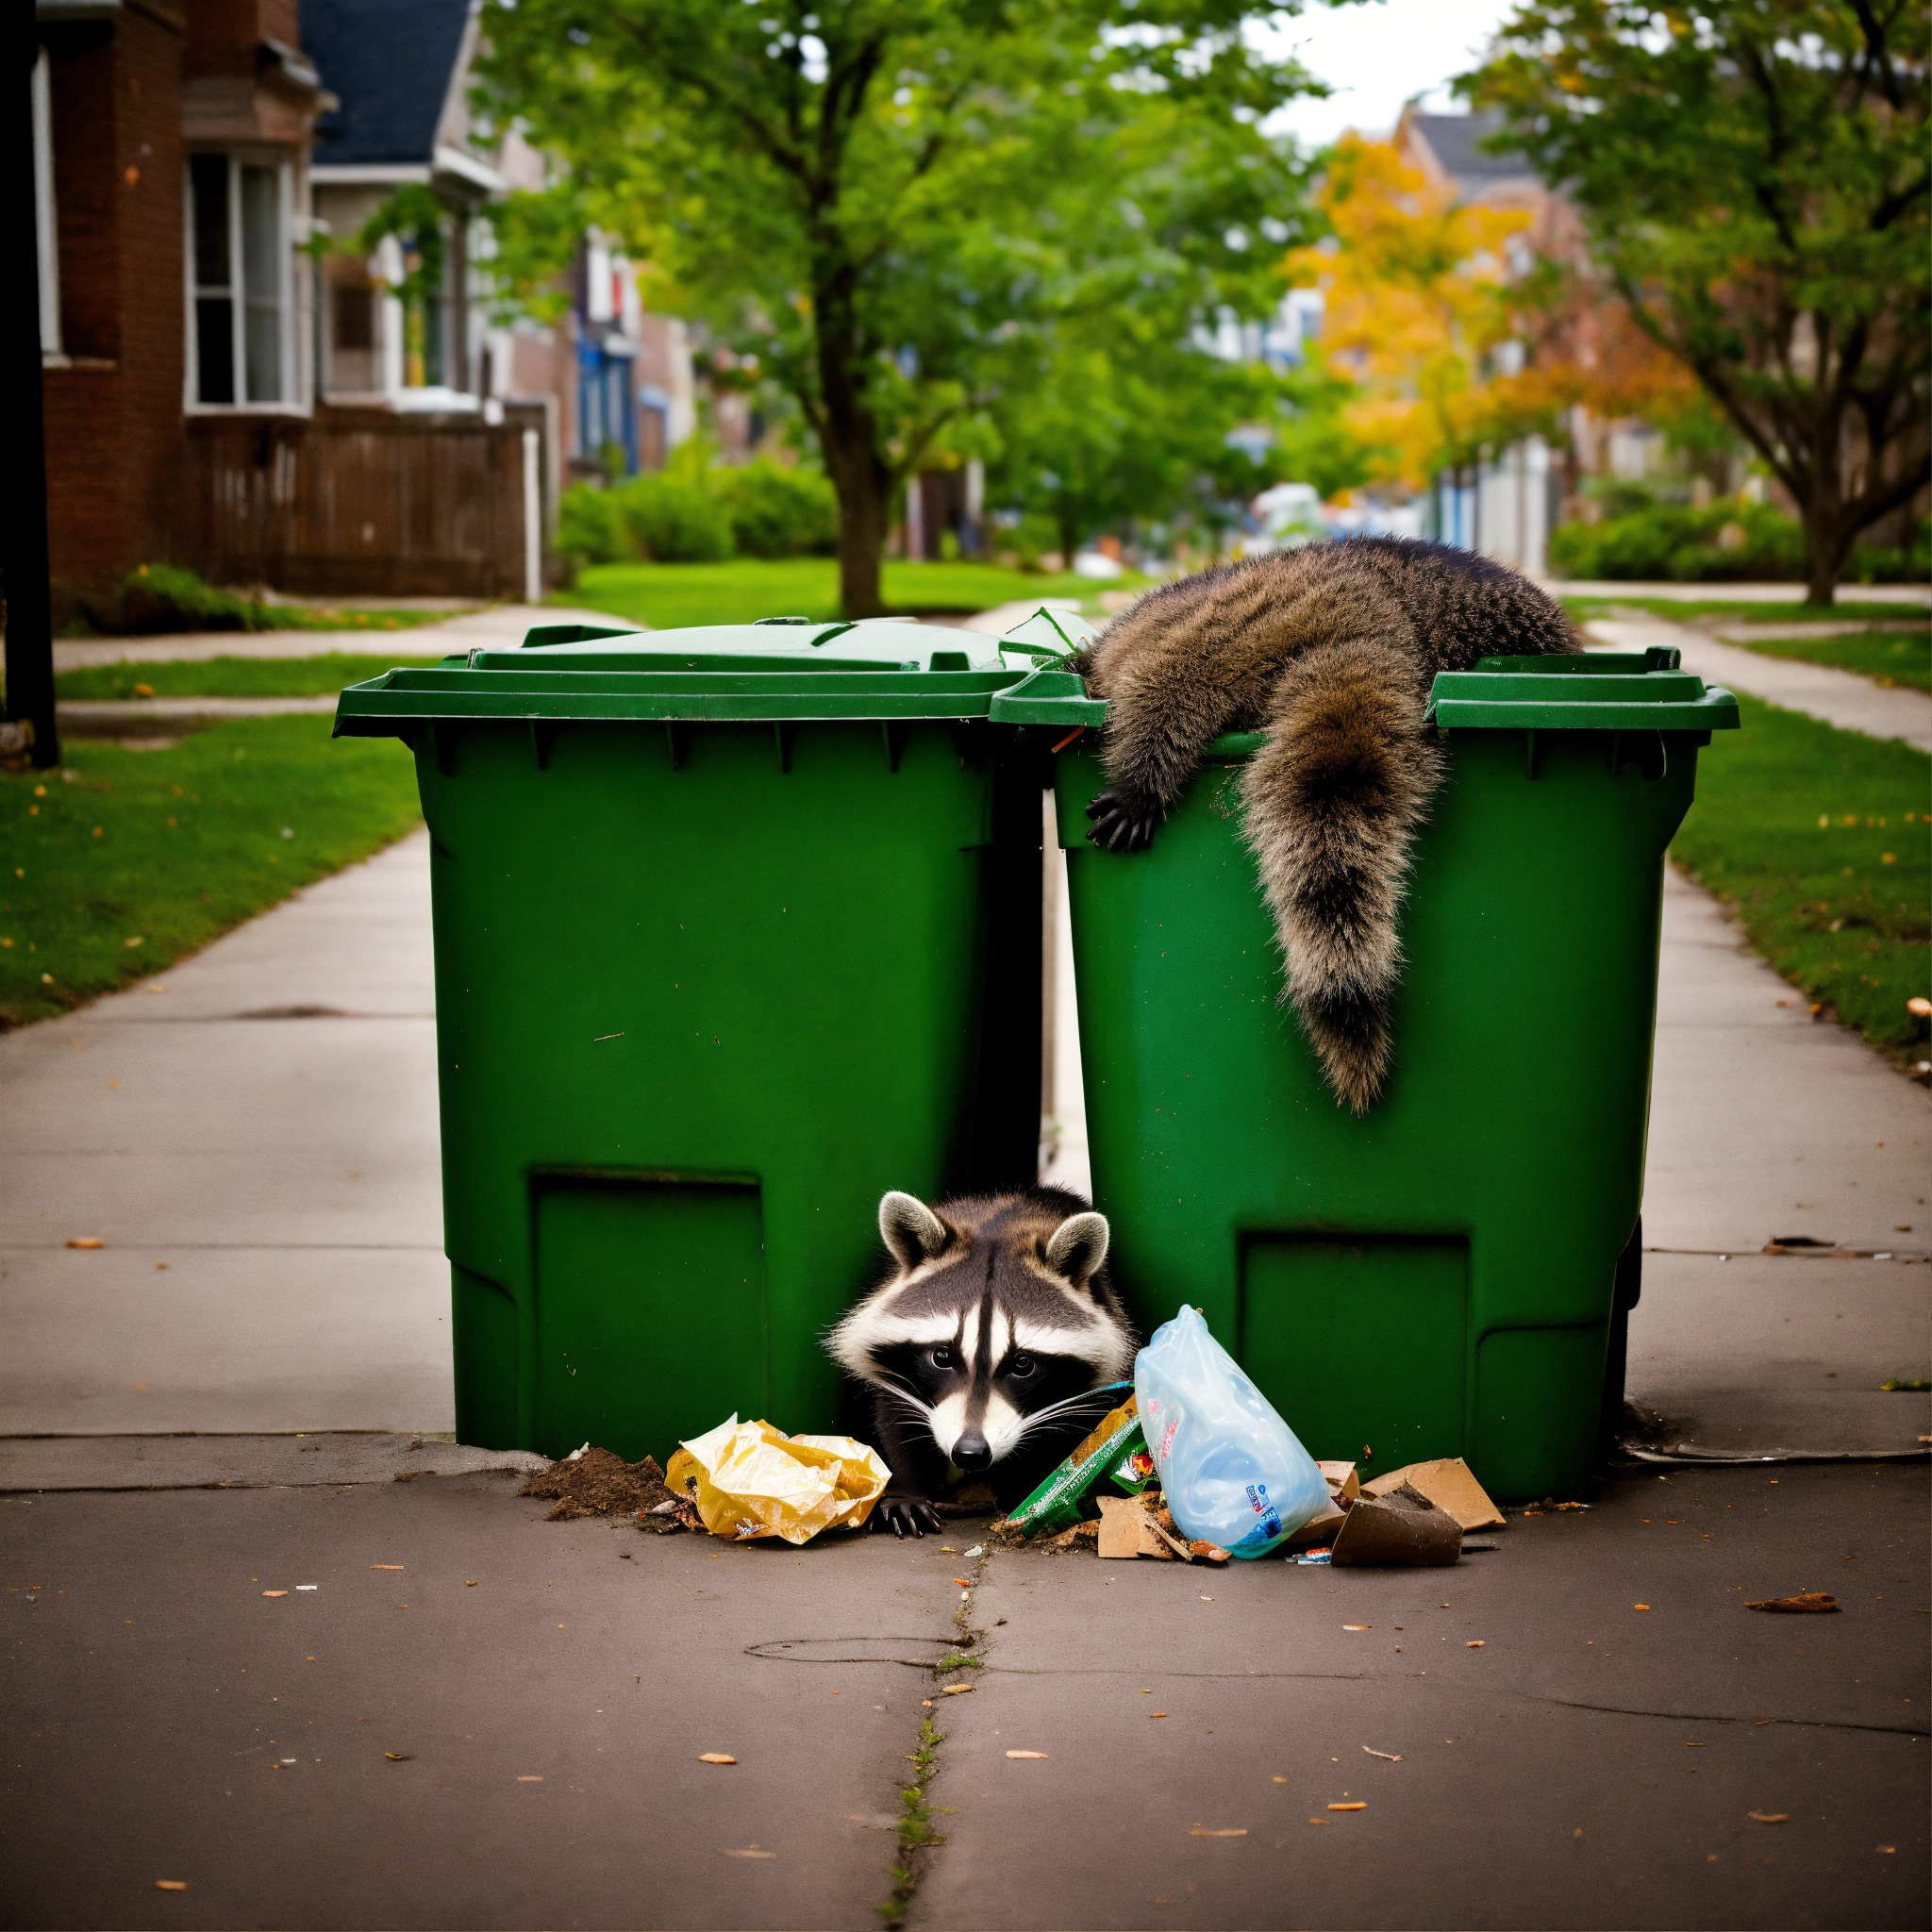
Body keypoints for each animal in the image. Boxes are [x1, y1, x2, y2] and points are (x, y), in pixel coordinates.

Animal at [827, 1186, 1137, 1537]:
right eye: (942, 1356)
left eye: (1022, 1364)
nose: (970, 1453)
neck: (1000, 1225)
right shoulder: (895, 1371)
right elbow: (896, 1419)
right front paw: (907, 1488)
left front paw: (1025, 1491)